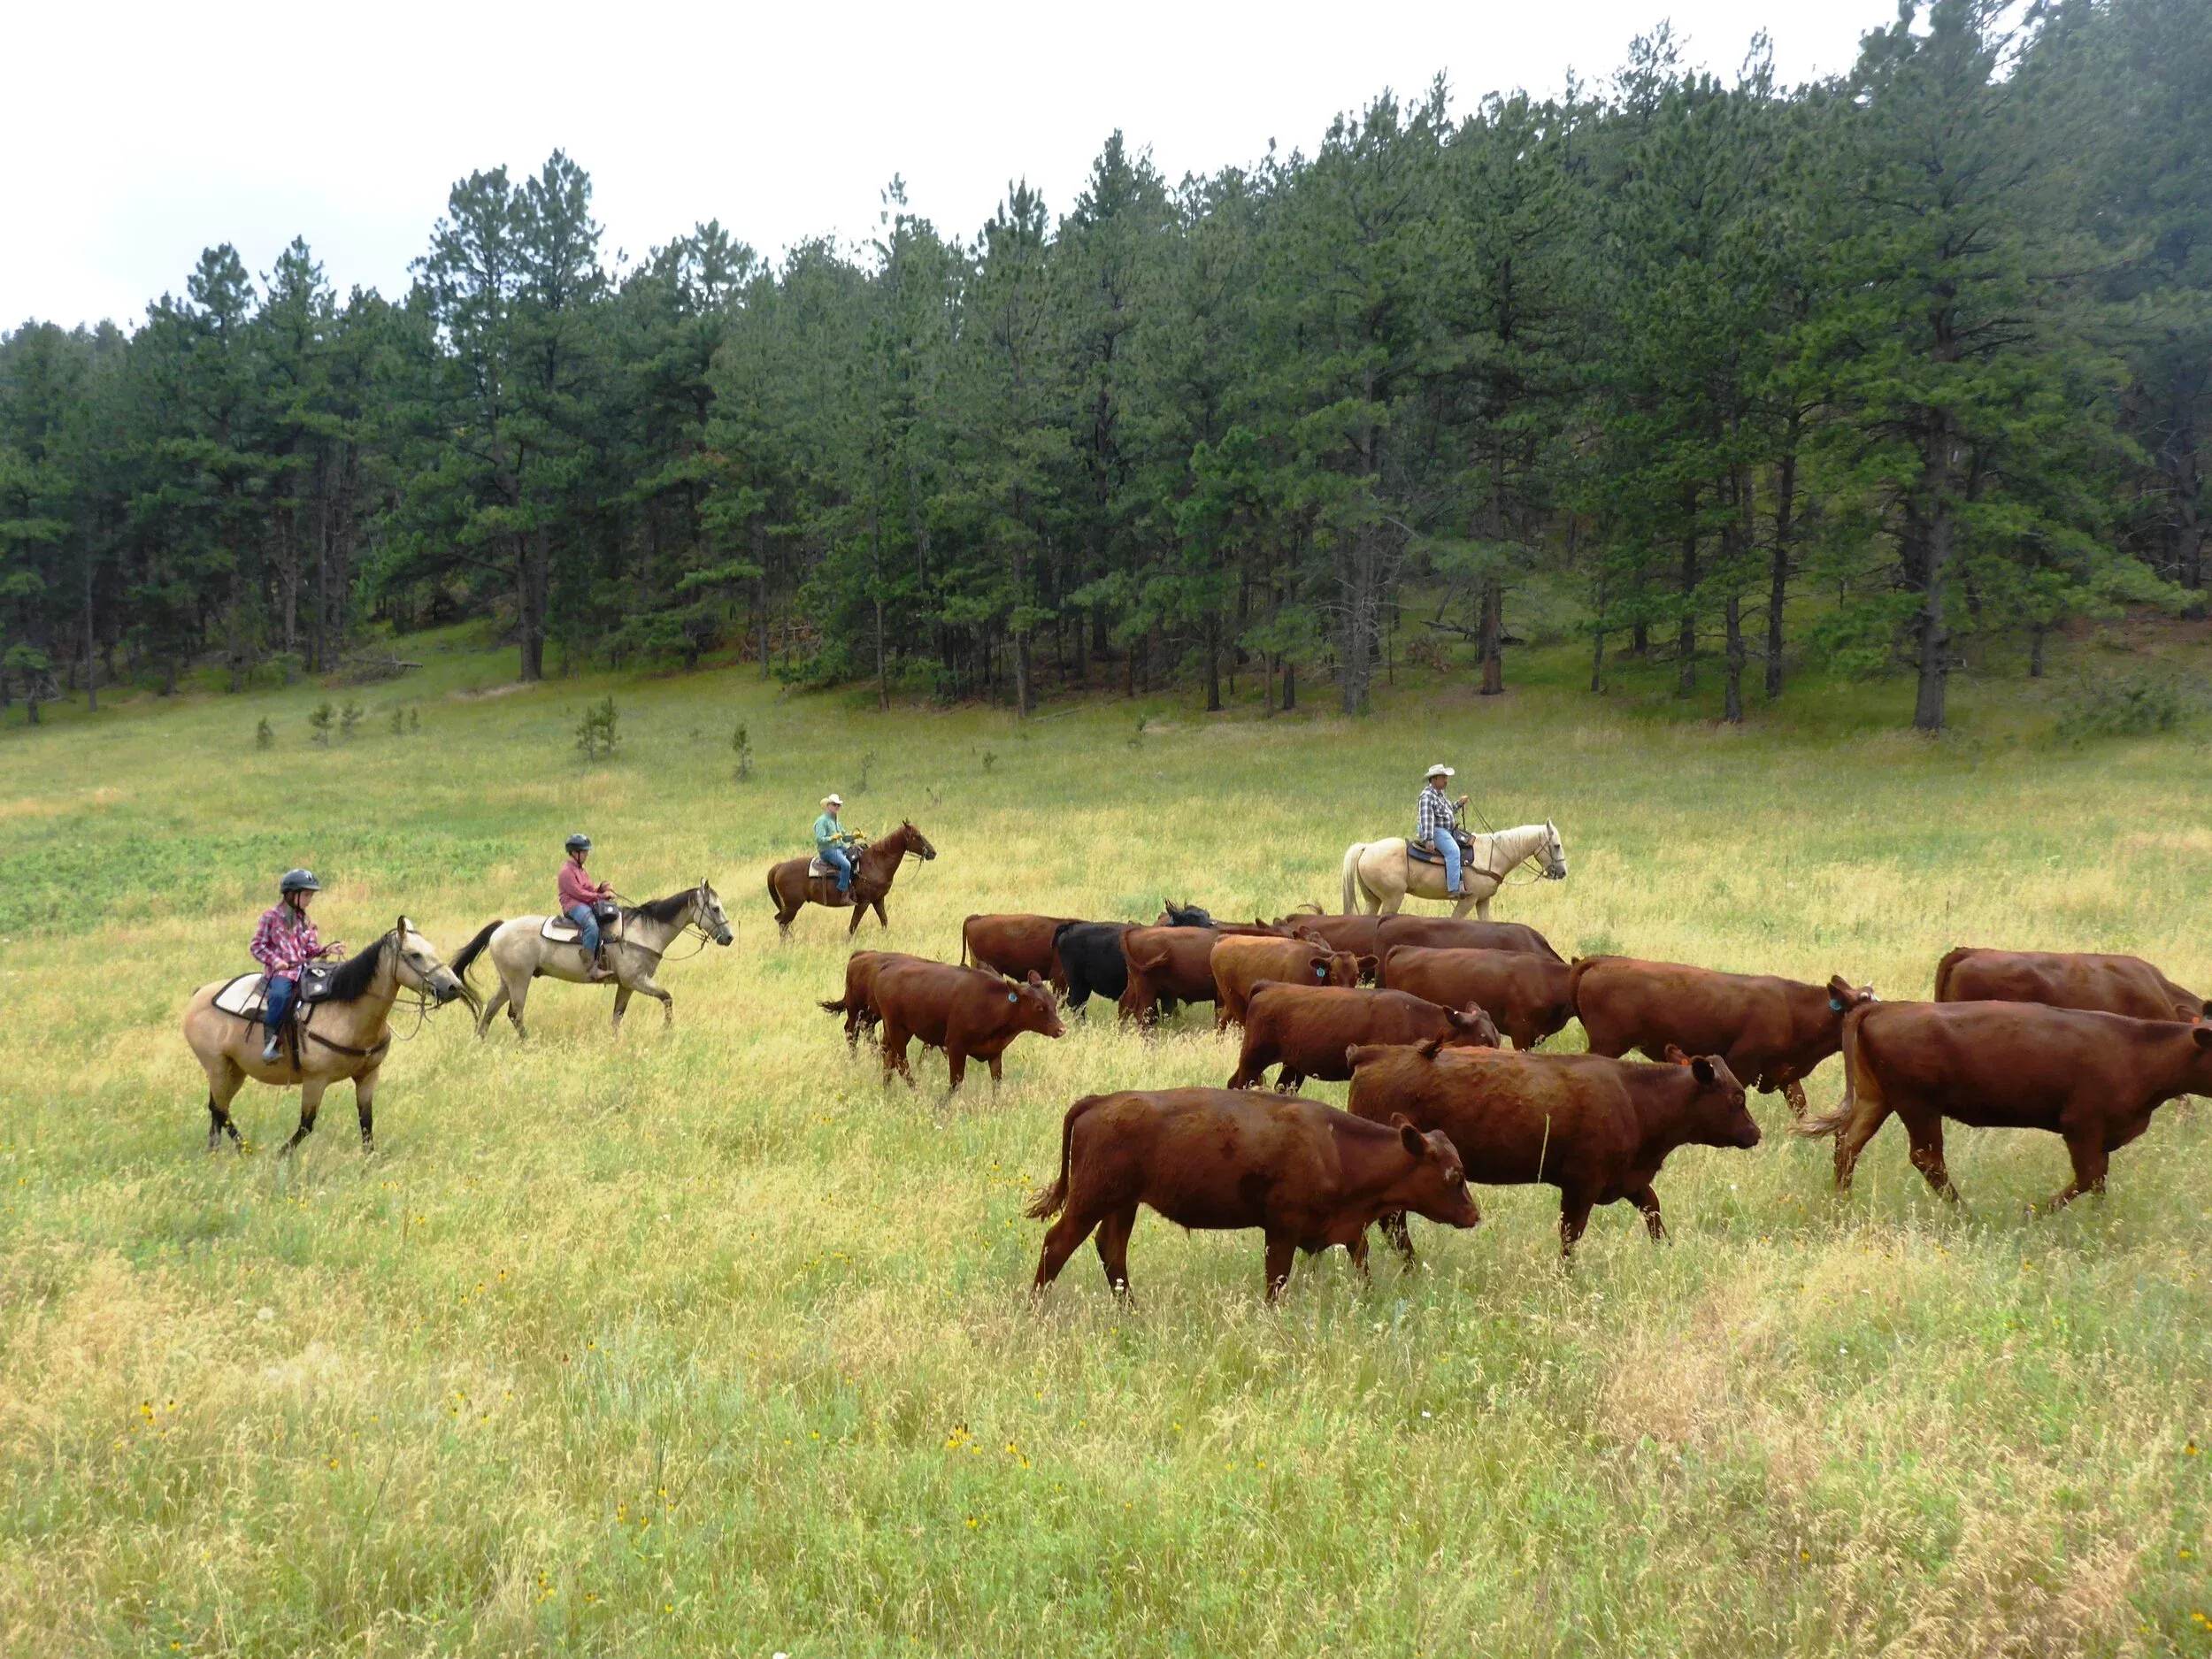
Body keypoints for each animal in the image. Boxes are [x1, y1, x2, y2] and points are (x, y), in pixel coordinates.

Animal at [870, 961, 1066, 1092]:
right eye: (1039, 1007)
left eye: (1054, 1003)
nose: (1061, 1029)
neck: (992, 1005)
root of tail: (887, 969)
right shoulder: (956, 1047)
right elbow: (955, 1083)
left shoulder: (995, 1052)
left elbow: (997, 1082)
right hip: (896, 1028)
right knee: (901, 1064)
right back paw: (916, 1093)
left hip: (898, 1031)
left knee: (888, 1058)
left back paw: (887, 1090)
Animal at [1025, 1087, 1481, 1300]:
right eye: (1454, 1174)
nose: (1474, 1215)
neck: (1334, 1145)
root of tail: (1100, 1101)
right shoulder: (1282, 1230)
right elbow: (1276, 1281)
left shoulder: (1347, 1231)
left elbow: (1362, 1264)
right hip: (1091, 1202)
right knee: (1057, 1244)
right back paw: (1035, 1309)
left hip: (1123, 1205)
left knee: (1112, 1251)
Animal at [1346, 1041, 1757, 1257]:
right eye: (1737, 1097)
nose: (1756, 1133)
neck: (1635, 1097)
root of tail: (1377, 1054)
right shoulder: (1581, 1185)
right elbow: (1570, 1236)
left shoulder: (1628, 1180)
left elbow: (1653, 1209)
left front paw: (1665, 1251)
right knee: (1393, 1224)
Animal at [1570, 956, 1875, 1118]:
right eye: (1862, 1005)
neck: (1793, 1009)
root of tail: (1604, 961)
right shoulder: (1741, 1063)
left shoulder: (1783, 1072)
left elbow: (1800, 1106)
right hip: (1607, 1044)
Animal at [1800, 1000, 2212, 1211]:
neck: (2139, 1050)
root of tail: (1884, 1007)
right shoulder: (2080, 1124)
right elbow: (2089, 1176)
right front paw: (2031, 1212)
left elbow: (2098, 1182)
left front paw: (2100, 1220)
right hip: (1917, 1103)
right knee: (1926, 1157)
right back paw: (1965, 1213)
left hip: (1878, 1097)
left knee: (1849, 1142)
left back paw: (1843, 1201)